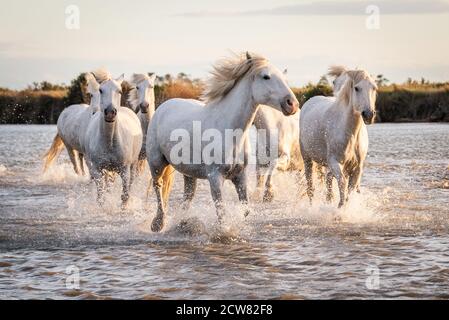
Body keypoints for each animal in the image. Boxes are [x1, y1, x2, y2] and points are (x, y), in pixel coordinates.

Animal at [81, 69, 143, 209]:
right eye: (101, 90)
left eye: (119, 91)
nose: (110, 112)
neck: (109, 142)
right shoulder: (97, 169)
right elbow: (100, 196)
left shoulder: (125, 170)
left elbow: (125, 195)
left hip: (133, 163)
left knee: (130, 183)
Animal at [145, 52, 298, 232]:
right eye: (265, 76)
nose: (292, 104)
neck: (229, 132)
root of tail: (163, 107)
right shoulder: (215, 178)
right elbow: (221, 212)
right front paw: (223, 231)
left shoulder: (240, 176)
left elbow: (245, 209)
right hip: (156, 163)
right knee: (159, 186)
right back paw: (158, 223)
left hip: (188, 171)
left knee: (188, 195)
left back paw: (182, 222)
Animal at [300, 67, 376, 208]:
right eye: (357, 88)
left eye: (374, 88)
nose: (368, 115)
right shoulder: (335, 162)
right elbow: (342, 183)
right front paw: (340, 207)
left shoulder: (357, 168)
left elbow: (349, 190)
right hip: (307, 158)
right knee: (310, 186)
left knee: (327, 180)